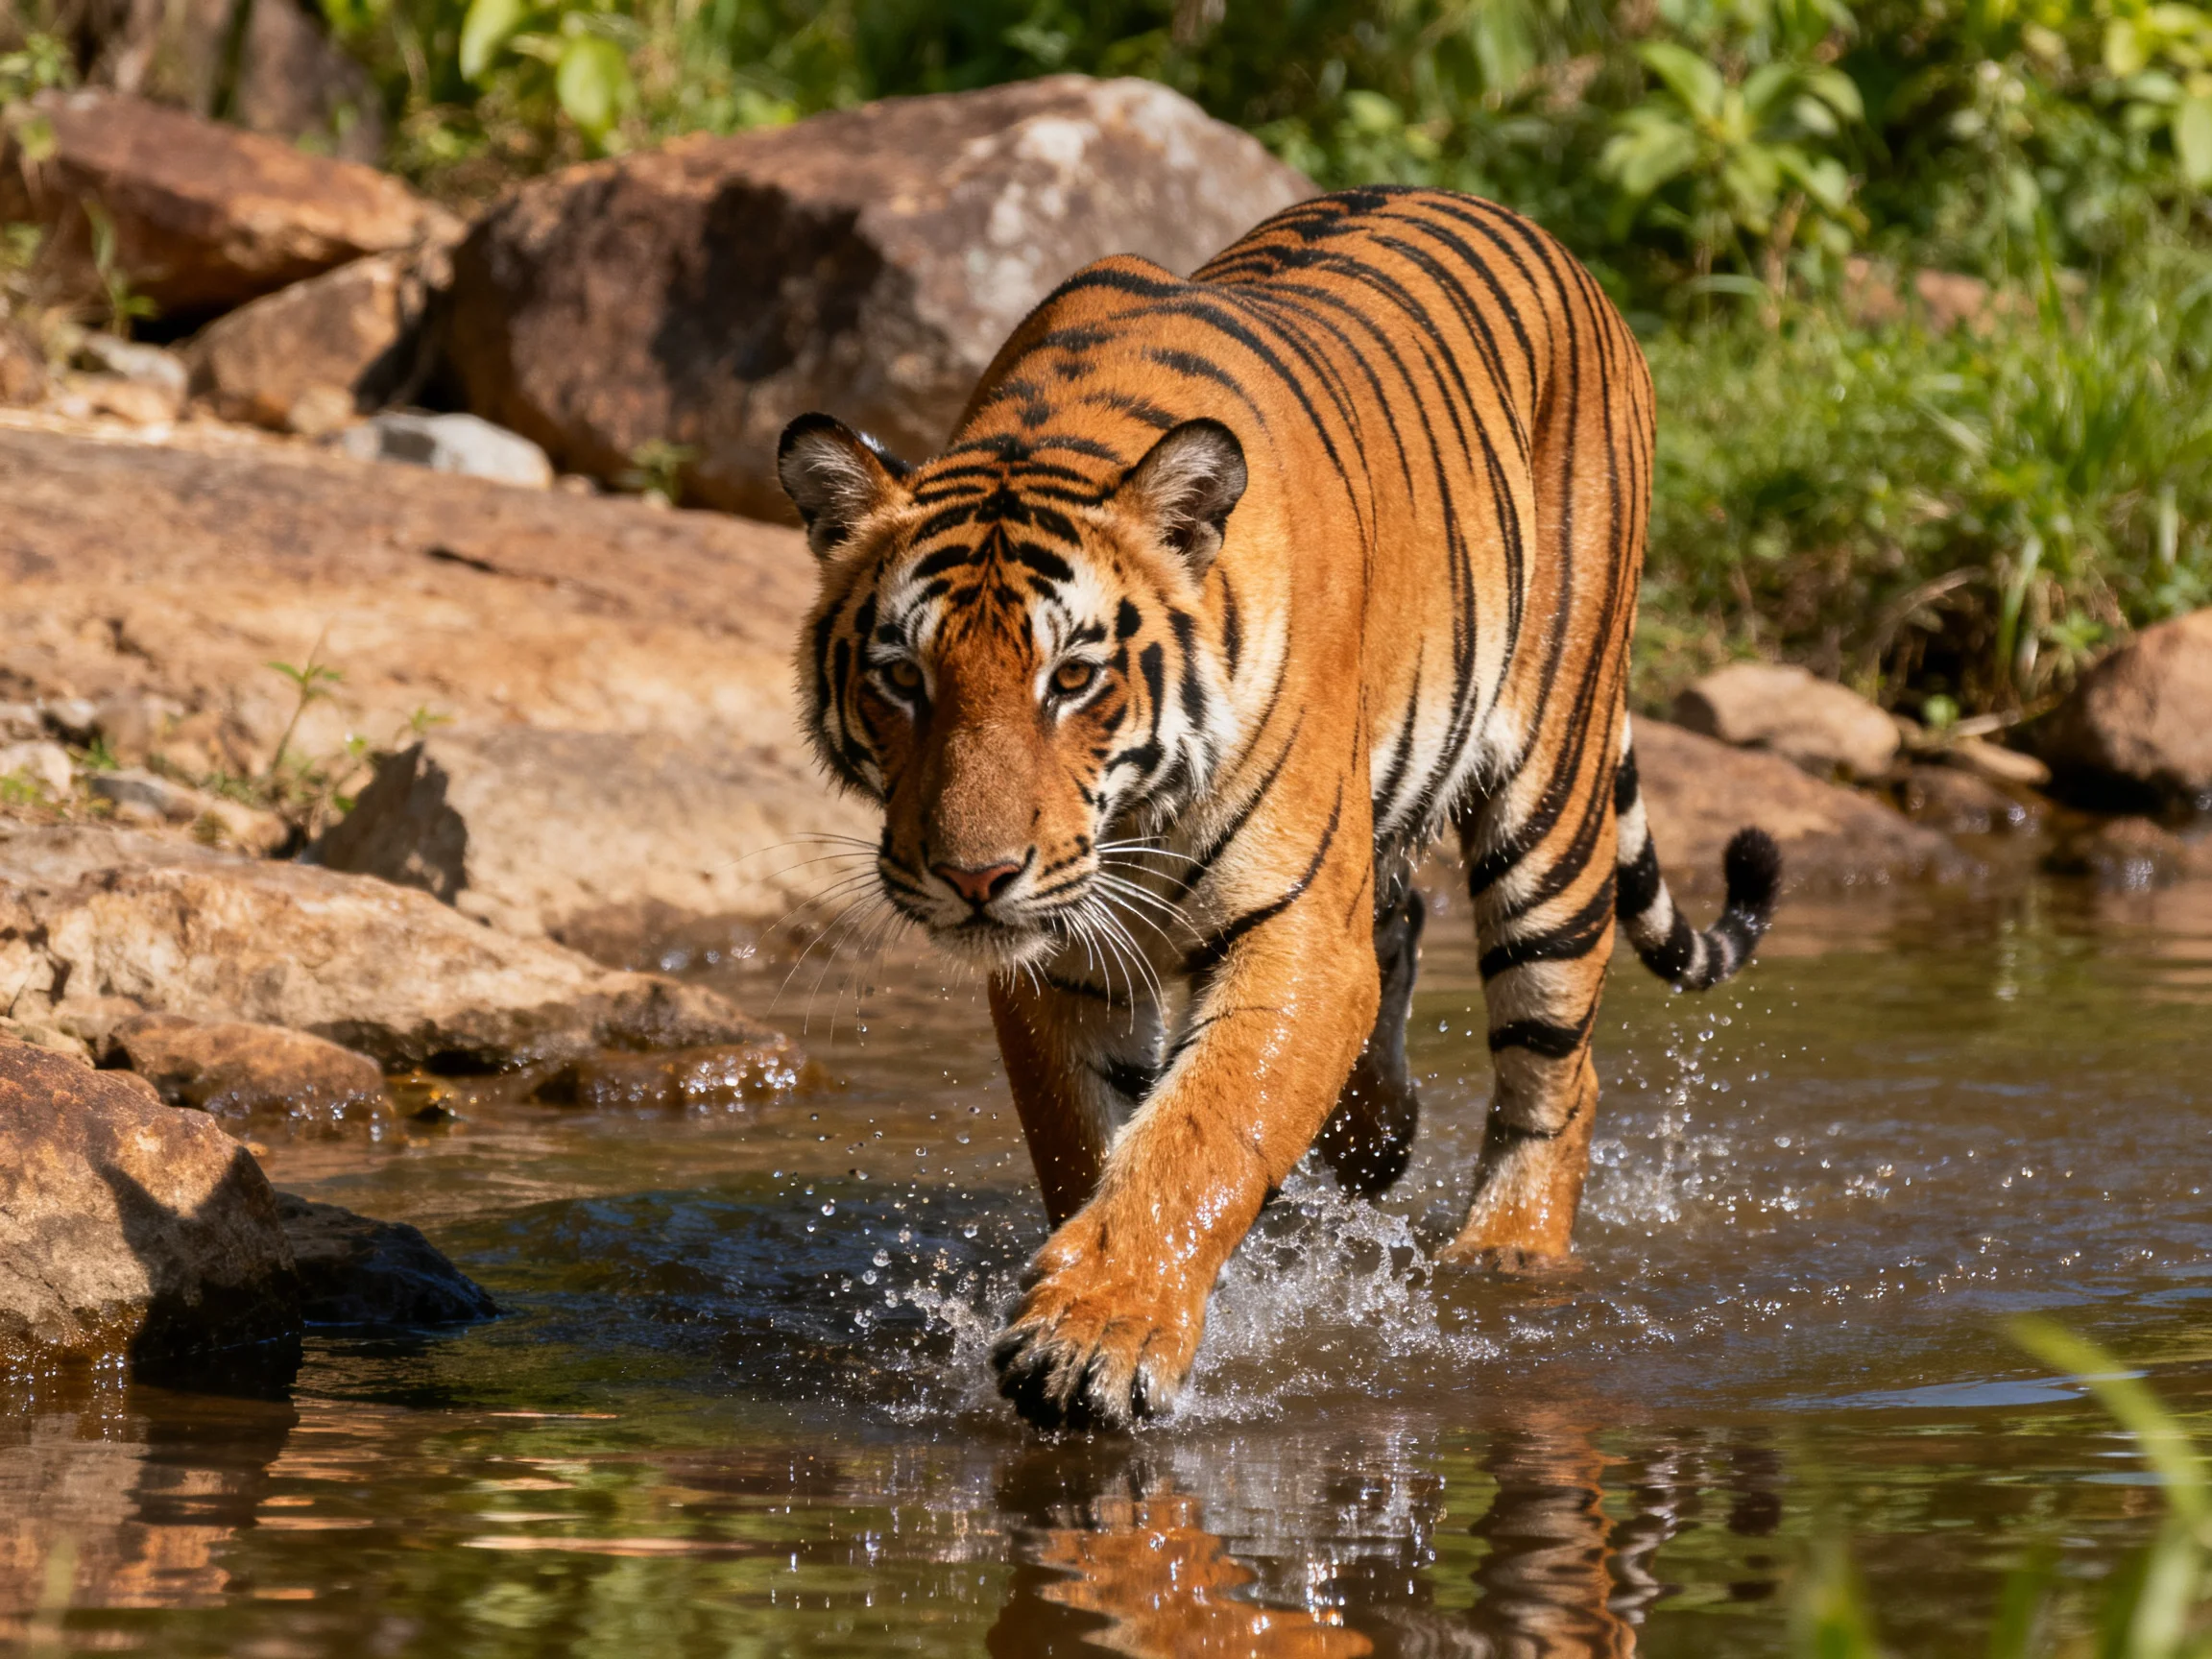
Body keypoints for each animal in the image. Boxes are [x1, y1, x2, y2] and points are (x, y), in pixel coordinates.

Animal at [777, 184, 1779, 1433]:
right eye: (902, 677)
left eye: (1073, 678)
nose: (976, 878)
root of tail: (1538, 234)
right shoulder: (1061, 959)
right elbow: (1093, 1137)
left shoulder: (1295, 928)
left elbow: (1203, 1130)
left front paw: (1097, 1335)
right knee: (1403, 929)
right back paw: (1376, 1138)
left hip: (1550, 789)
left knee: (1559, 1061)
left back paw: (1504, 1256)